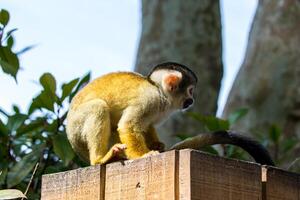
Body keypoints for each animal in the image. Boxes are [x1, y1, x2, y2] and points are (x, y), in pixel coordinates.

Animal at [66, 61, 197, 165]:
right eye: (190, 91)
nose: (192, 100)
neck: (159, 91)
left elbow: (147, 125)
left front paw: (156, 144)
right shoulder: (148, 100)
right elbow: (128, 125)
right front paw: (143, 155)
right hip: (76, 124)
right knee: (98, 107)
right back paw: (99, 159)